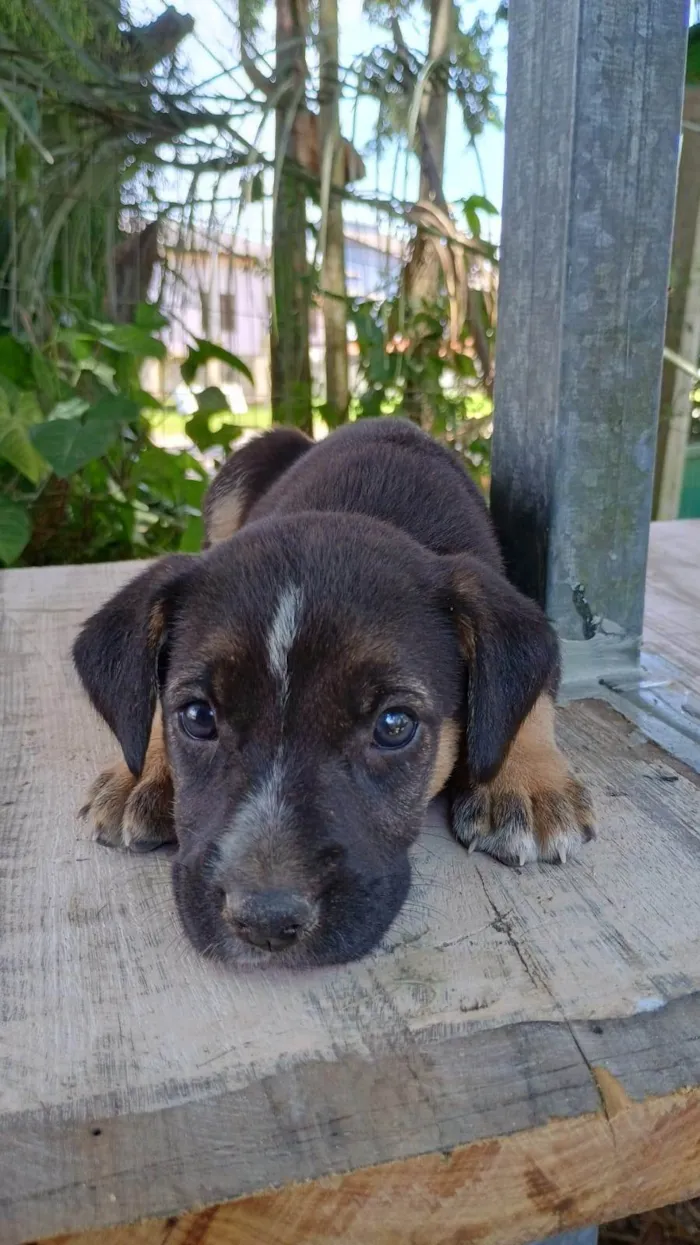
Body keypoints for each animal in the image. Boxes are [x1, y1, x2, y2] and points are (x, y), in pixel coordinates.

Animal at [73, 418, 590, 971]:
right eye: (197, 717)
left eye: (394, 726)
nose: (266, 924)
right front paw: (142, 772)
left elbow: (532, 693)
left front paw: (527, 785)